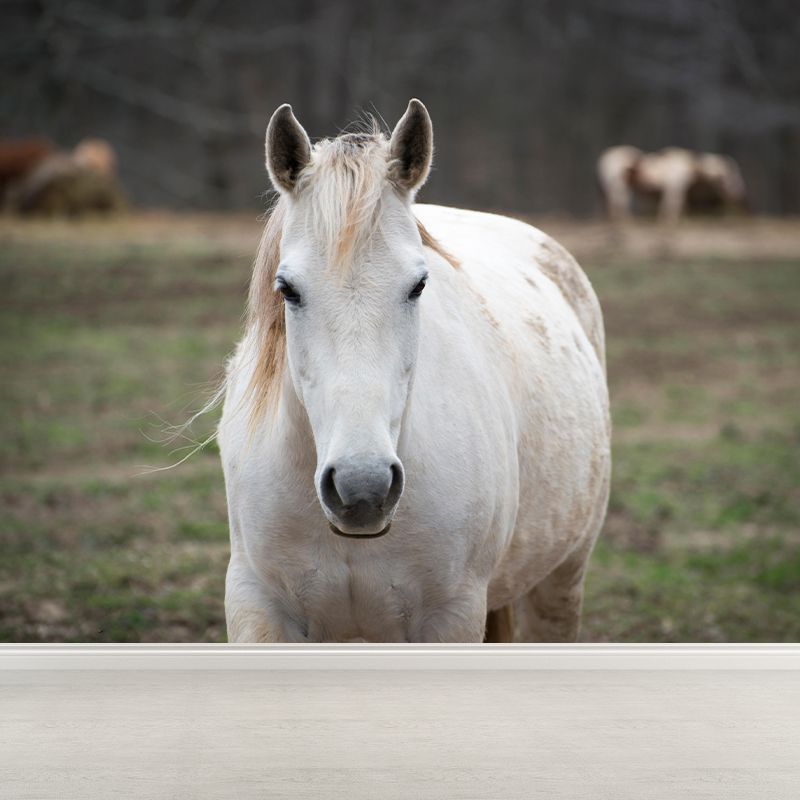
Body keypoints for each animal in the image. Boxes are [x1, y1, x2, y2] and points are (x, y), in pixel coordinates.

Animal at [218, 100, 611, 643]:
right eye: (288, 288)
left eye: (419, 285)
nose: (362, 488)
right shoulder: (257, 605)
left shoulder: (453, 615)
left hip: (560, 580)